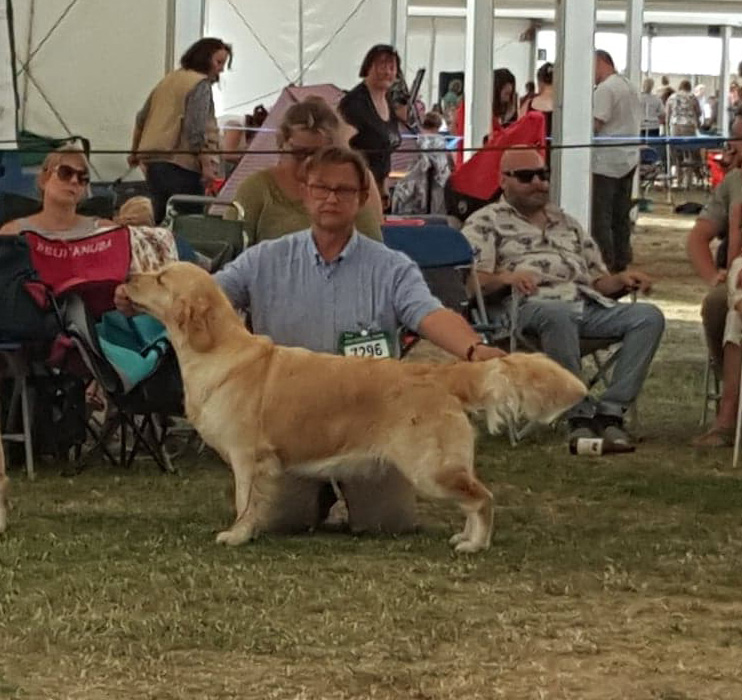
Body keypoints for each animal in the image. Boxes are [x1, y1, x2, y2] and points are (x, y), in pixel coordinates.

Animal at [125, 262, 588, 552]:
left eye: (161, 277)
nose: (127, 276)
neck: (216, 350)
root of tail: (437, 373)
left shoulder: (247, 457)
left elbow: (244, 502)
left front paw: (237, 536)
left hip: (431, 469)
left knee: (482, 497)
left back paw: (475, 544)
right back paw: (466, 538)